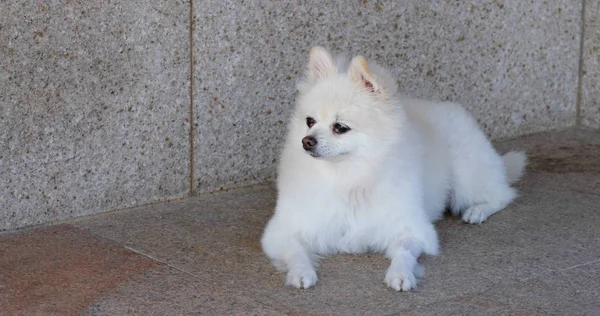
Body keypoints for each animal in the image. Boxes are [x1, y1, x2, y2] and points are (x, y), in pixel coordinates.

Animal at [260, 46, 528, 292]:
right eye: (310, 122)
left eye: (340, 128)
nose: (307, 141)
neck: (348, 177)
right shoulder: (283, 231)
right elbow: (295, 251)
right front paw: (301, 272)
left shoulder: (413, 228)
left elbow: (404, 252)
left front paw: (400, 274)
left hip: (466, 179)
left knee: (502, 194)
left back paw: (477, 211)